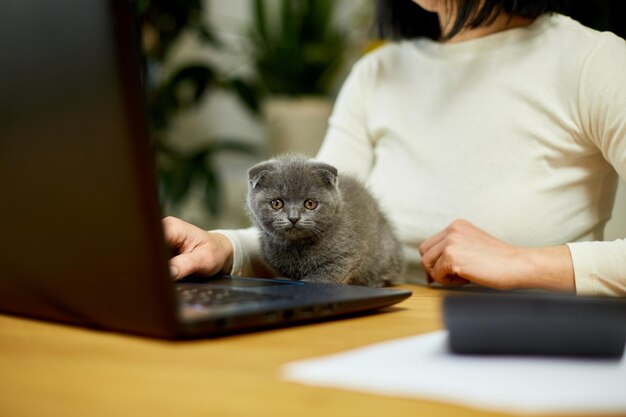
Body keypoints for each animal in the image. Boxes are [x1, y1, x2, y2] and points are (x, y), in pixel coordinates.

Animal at [246, 154, 402, 288]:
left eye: (310, 204)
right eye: (276, 203)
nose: (293, 218)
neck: (297, 246)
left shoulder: (346, 255)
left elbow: (324, 277)